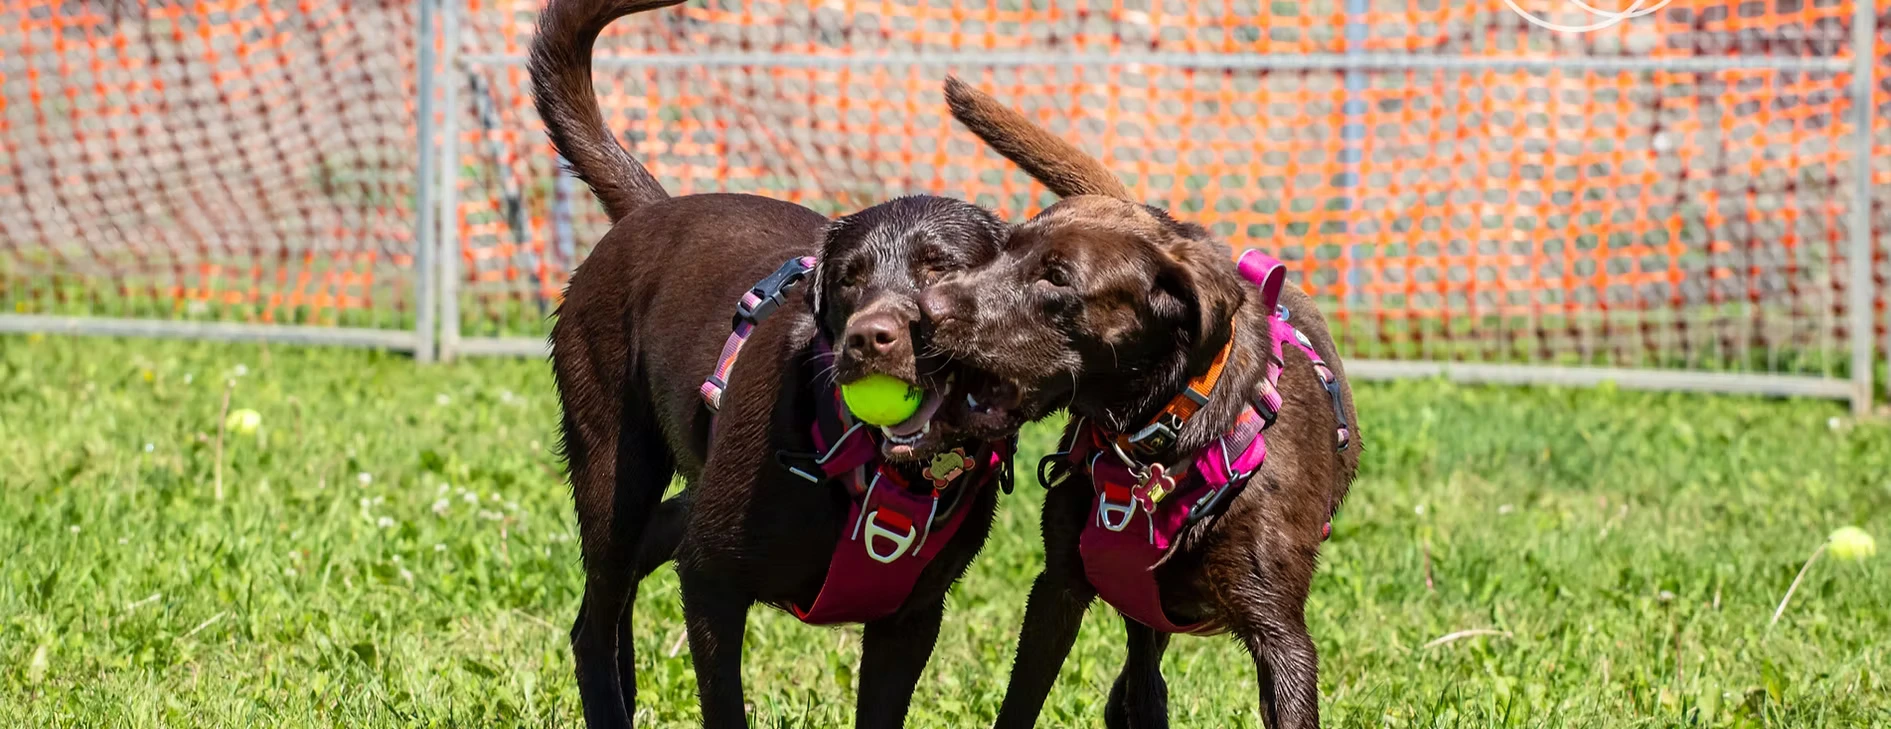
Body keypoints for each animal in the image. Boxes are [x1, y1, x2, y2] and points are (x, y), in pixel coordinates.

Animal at [533, 4, 1051, 721]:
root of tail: (651, 208)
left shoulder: (910, 620)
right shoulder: (711, 582)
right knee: (594, 619)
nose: (867, 339)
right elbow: (724, 702)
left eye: (940, 268)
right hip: (615, 468)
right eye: (849, 278)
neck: (876, 470)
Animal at [919, 79, 1353, 729]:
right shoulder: (1058, 589)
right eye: (1003, 250)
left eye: (1057, 279)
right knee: (1142, 686)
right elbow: (1021, 701)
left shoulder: (1283, 638)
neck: (1154, 442)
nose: (925, 307)